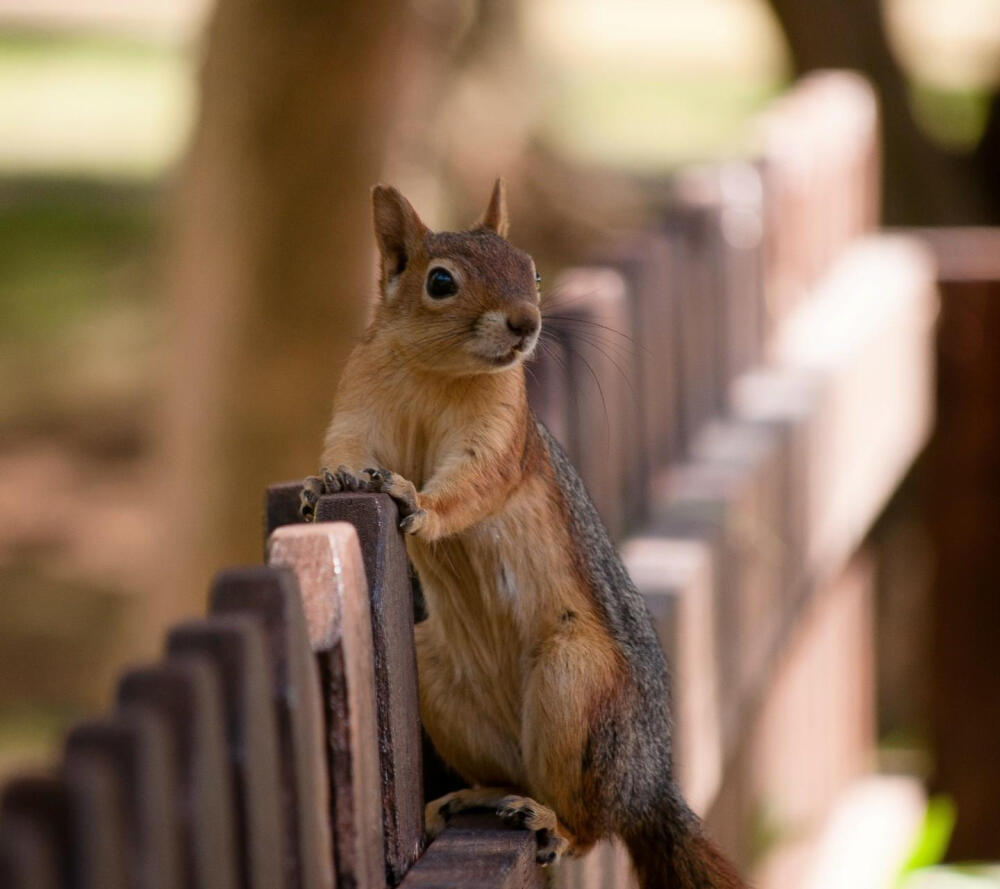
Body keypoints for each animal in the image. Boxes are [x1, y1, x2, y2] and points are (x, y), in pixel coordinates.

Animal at [300, 180, 748, 888]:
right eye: (440, 281)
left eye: (532, 271)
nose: (525, 323)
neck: (435, 374)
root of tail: (649, 785)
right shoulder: (359, 404)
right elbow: (345, 448)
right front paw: (327, 484)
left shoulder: (501, 433)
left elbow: (475, 482)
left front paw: (416, 501)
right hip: (445, 684)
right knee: (515, 773)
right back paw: (475, 797)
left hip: (576, 688)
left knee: (591, 826)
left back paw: (552, 825)